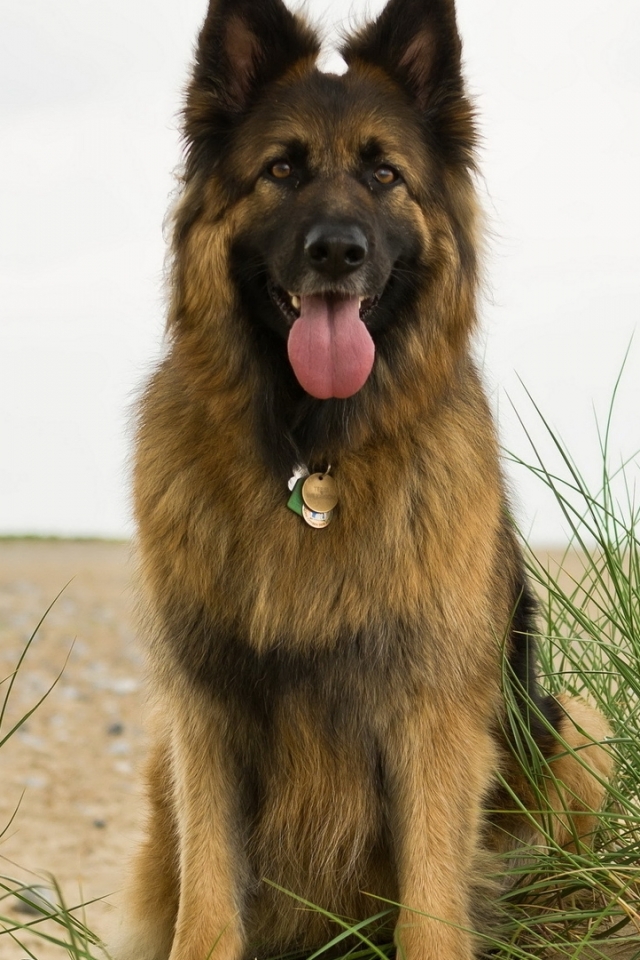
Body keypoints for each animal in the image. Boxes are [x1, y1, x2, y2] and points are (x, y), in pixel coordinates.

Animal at [115, 1, 616, 960]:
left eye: (385, 174)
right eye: (281, 169)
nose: (337, 252)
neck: (315, 459)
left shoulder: (434, 721)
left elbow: (430, 906)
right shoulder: (203, 718)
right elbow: (208, 904)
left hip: (578, 732)